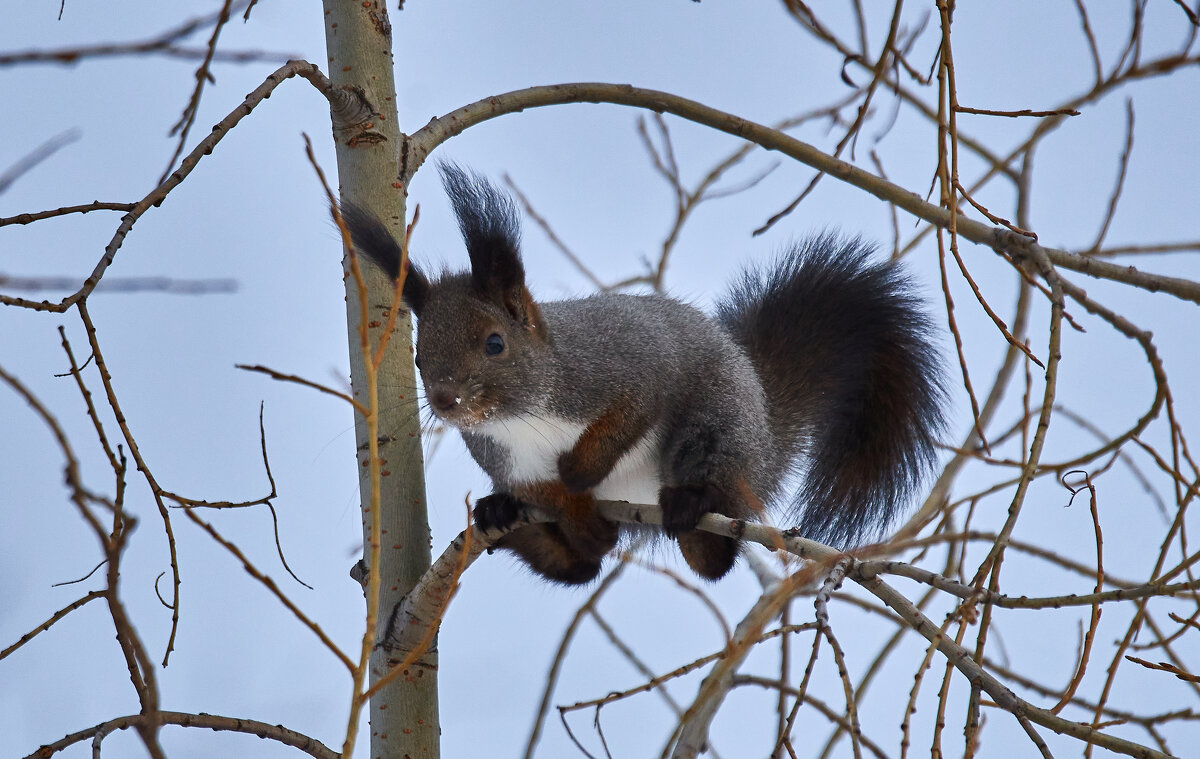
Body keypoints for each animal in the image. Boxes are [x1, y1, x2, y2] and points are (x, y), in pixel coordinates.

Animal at [340, 163, 945, 583]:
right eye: (419, 358)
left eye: (495, 343)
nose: (446, 401)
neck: (524, 416)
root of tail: (765, 438)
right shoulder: (509, 461)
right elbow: (564, 510)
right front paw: (571, 509)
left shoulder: (628, 370)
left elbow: (627, 419)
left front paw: (579, 469)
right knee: (585, 563)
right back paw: (506, 516)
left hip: (716, 430)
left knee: (713, 552)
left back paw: (691, 506)